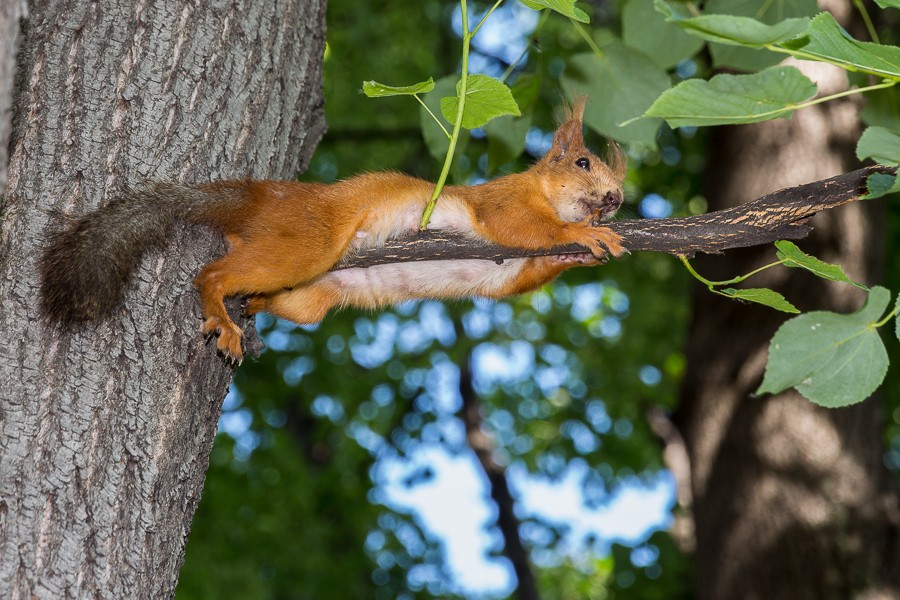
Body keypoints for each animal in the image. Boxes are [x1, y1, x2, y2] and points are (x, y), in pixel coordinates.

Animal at [40, 100, 624, 364]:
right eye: (582, 162)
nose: (616, 199)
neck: (539, 187)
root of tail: (260, 198)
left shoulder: (511, 271)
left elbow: (525, 273)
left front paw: (581, 252)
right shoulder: (499, 204)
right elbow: (526, 226)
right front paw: (588, 237)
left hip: (309, 296)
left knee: (279, 298)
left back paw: (252, 307)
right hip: (306, 244)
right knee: (211, 273)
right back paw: (221, 313)